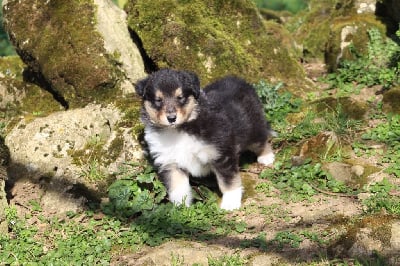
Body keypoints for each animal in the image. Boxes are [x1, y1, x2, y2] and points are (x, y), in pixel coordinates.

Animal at [134, 68, 276, 210]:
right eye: (158, 100)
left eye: (180, 97)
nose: (172, 118)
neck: (179, 129)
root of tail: (239, 81)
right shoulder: (170, 163)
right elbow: (178, 188)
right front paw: (181, 208)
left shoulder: (221, 154)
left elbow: (228, 182)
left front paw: (230, 203)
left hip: (253, 129)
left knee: (262, 139)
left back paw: (266, 157)